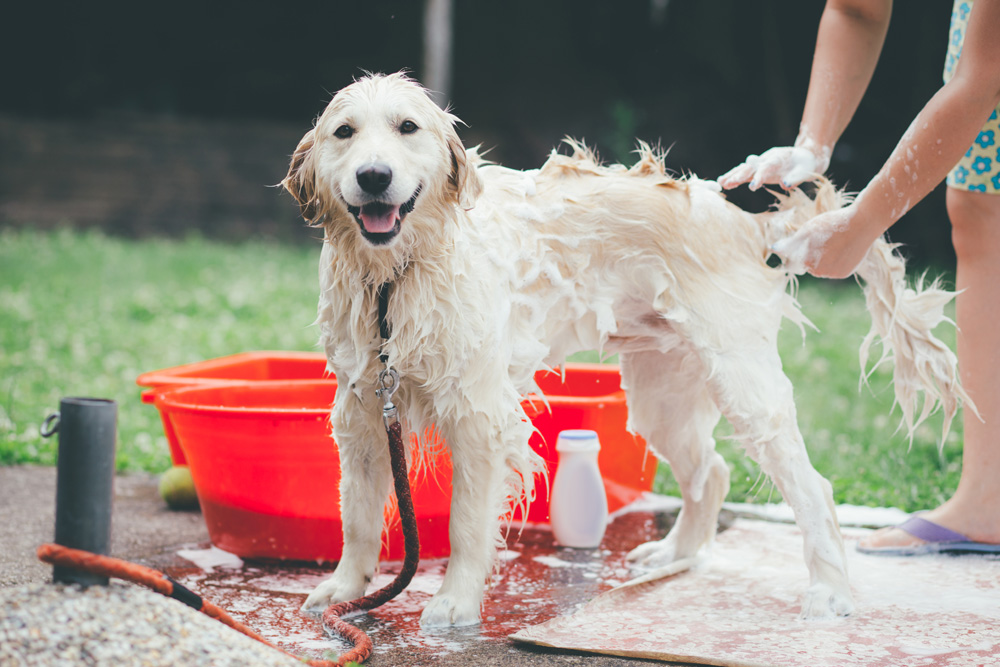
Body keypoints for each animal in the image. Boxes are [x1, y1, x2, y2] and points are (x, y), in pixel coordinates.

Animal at [282, 75, 968, 628]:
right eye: (344, 132)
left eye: (408, 127)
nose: (374, 176)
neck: (394, 279)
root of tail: (744, 222)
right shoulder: (362, 411)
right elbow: (359, 516)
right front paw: (344, 591)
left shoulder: (479, 416)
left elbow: (466, 523)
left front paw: (454, 602)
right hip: (664, 398)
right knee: (713, 471)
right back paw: (677, 553)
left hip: (747, 388)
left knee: (814, 490)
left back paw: (830, 593)